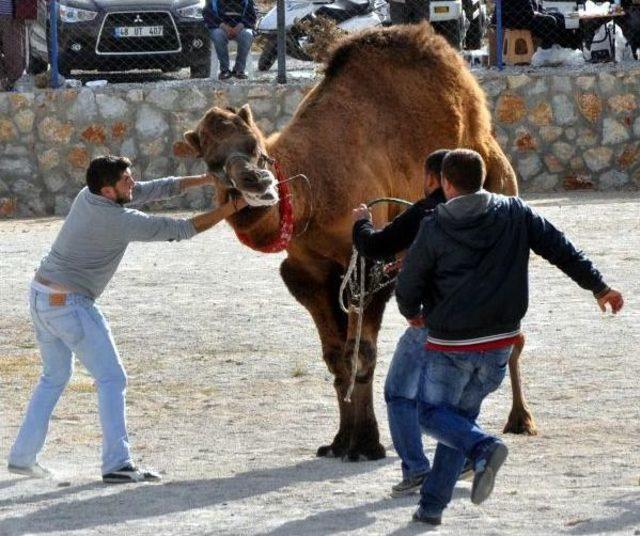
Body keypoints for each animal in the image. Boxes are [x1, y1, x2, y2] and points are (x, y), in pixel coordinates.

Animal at [185, 24, 536, 460]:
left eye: (256, 146)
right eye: (213, 162)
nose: (256, 180)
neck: (315, 190)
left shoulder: (368, 264)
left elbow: (361, 352)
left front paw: (366, 443)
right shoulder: (309, 272)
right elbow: (336, 357)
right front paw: (340, 441)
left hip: (500, 191)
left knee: (511, 331)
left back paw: (520, 419)